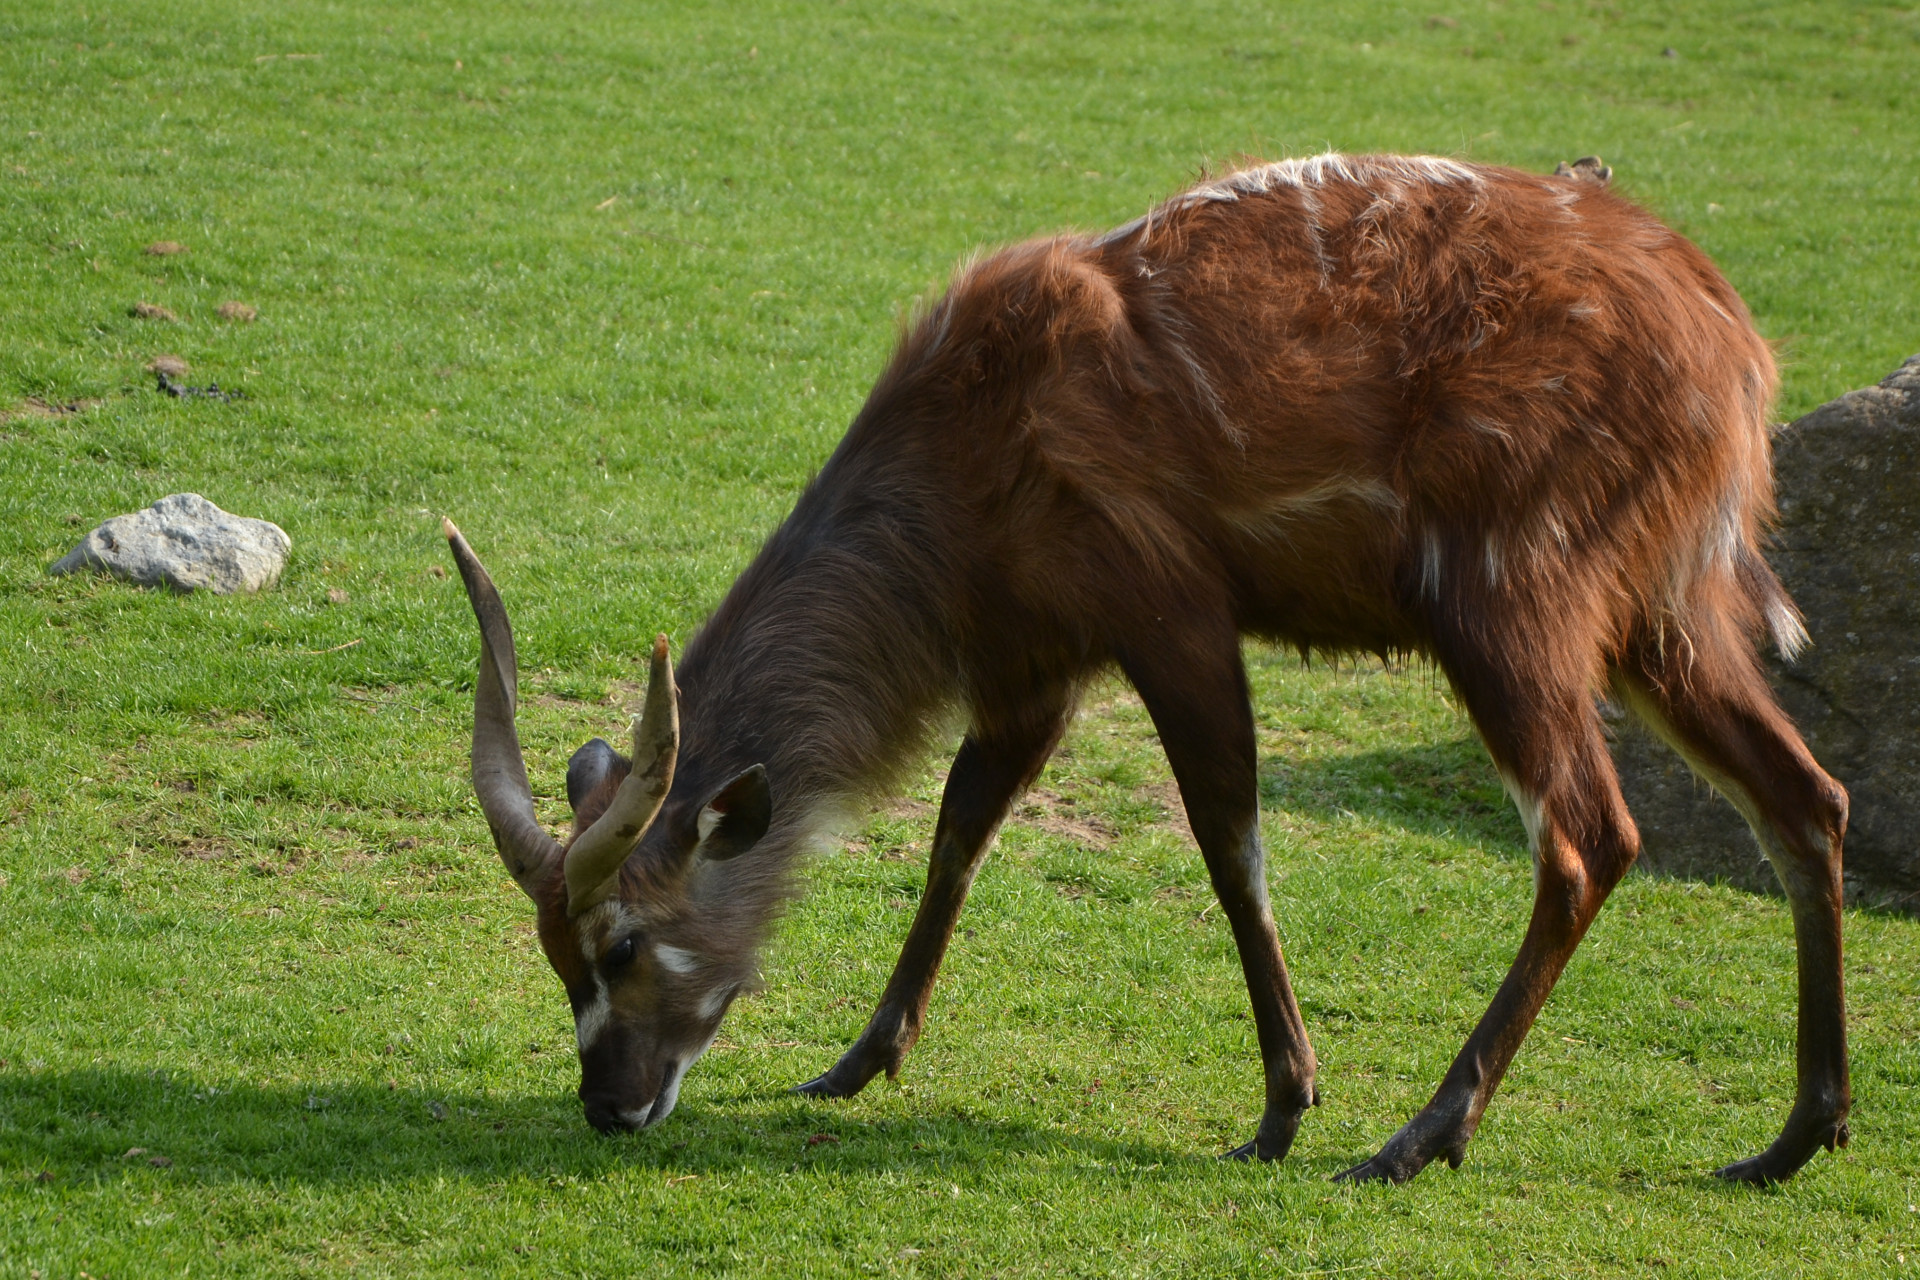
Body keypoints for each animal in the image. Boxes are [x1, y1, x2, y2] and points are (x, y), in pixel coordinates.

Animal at [441, 155, 1850, 1189]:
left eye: (622, 940)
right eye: (552, 949)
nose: (610, 1103)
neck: (968, 454)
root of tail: (1736, 351)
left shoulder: (1167, 611)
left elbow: (1230, 843)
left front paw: (1283, 1107)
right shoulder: (1038, 666)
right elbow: (958, 829)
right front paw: (851, 1059)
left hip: (1512, 604)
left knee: (1591, 834)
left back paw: (1414, 1137)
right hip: (1664, 618)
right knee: (1807, 797)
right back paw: (1792, 1136)